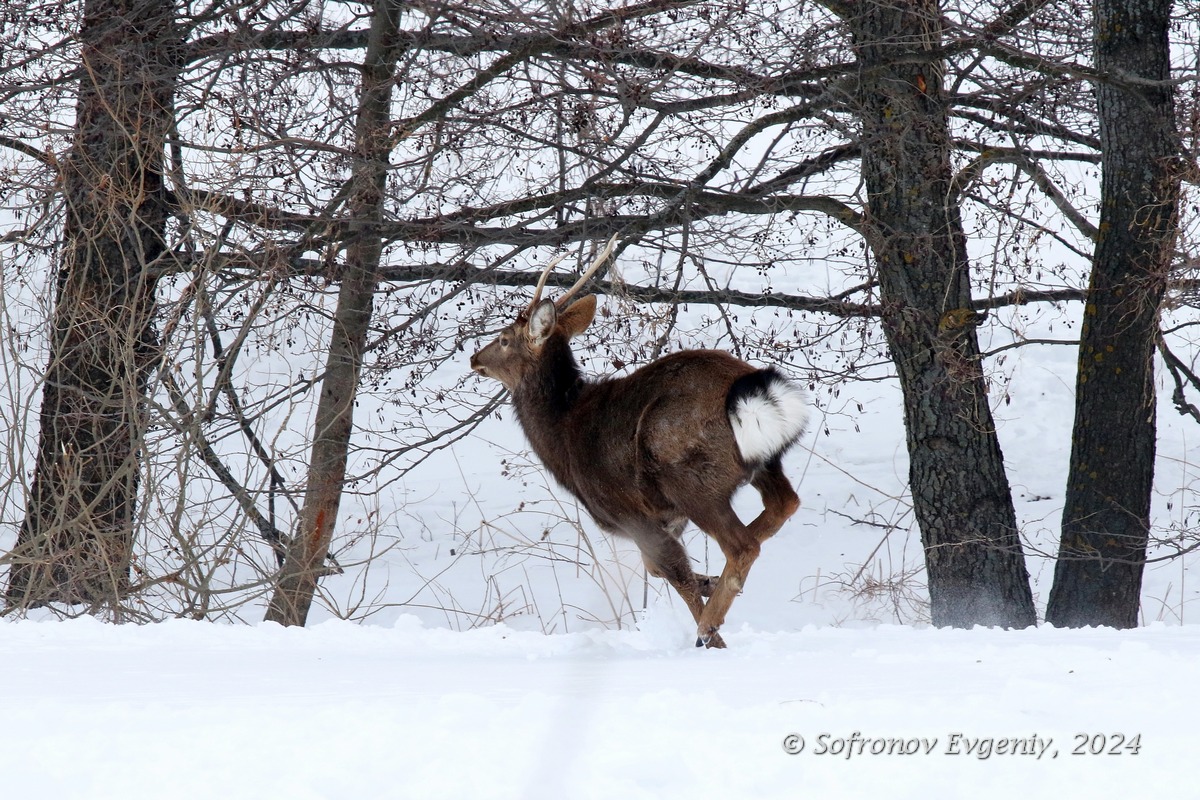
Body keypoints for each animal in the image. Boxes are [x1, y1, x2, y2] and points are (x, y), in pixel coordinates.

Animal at [465, 236, 806, 642]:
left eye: (503, 339)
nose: (474, 358)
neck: (562, 434)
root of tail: (750, 391)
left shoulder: (630, 512)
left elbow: (674, 573)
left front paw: (712, 630)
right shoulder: (665, 520)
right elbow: (658, 569)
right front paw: (708, 582)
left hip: (687, 476)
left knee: (742, 545)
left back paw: (708, 624)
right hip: (763, 463)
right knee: (785, 504)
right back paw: (721, 587)